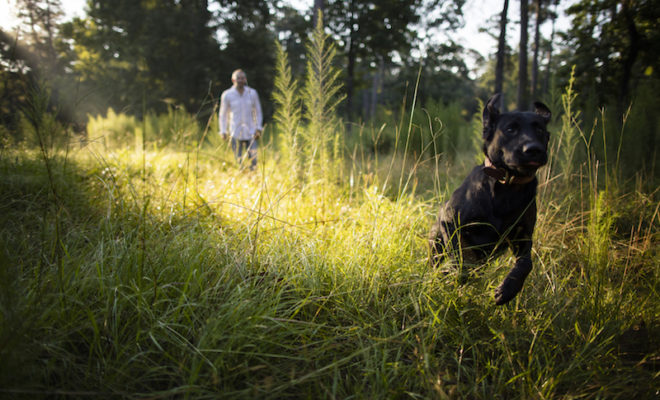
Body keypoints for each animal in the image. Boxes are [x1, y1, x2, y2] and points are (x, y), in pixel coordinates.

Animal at [428, 94, 552, 304]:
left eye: (540, 130)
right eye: (510, 129)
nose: (533, 149)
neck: (507, 187)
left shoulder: (523, 236)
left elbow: (526, 263)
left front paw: (507, 290)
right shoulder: (450, 222)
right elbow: (459, 256)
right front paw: (457, 273)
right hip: (436, 243)